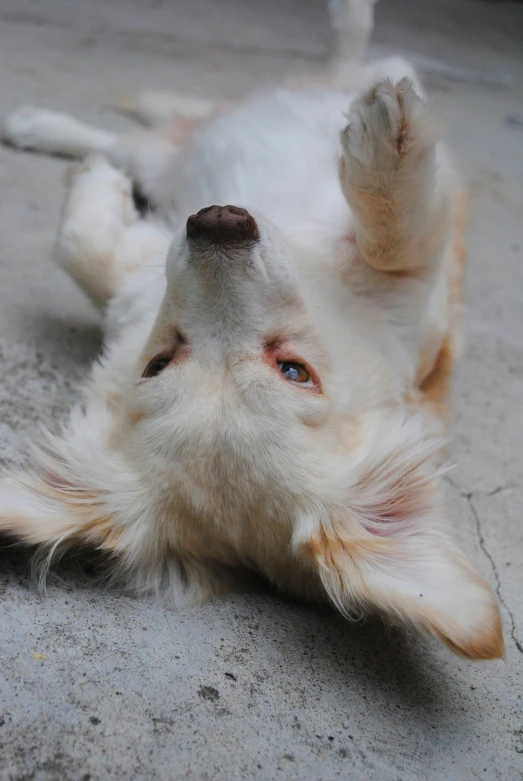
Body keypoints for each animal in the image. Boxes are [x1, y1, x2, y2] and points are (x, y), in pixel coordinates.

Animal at [0, 0, 506, 660]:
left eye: (294, 371)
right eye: (159, 364)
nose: (217, 221)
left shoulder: (419, 304)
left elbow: (393, 238)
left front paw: (386, 147)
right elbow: (82, 245)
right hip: (163, 158)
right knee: (130, 142)